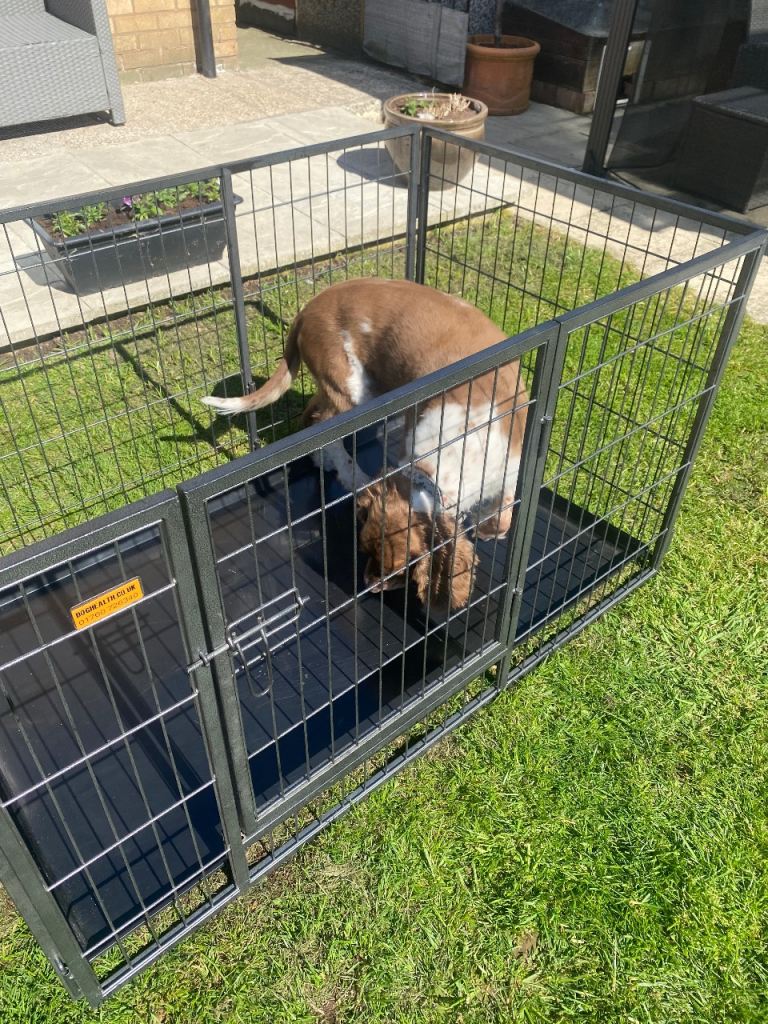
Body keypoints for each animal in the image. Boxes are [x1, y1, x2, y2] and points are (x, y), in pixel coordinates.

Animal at [202, 278, 528, 614]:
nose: (369, 585)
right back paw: (349, 474)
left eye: (402, 571)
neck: (462, 441)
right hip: (351, 386)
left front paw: (486, 527)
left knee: (313, 413)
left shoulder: (511, 461)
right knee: (325, 424)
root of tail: (307, 309)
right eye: (365, 548)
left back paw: (322, 460)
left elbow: (503, 516)